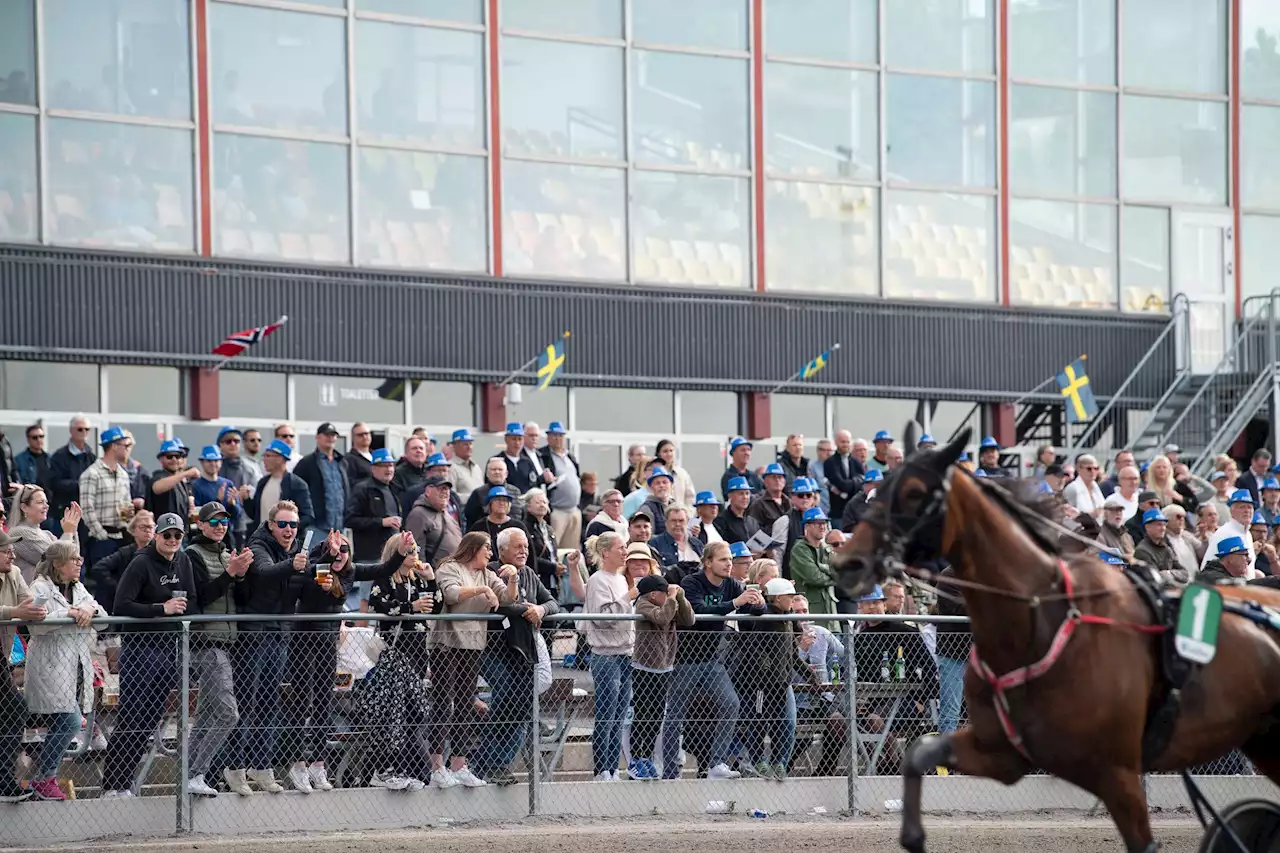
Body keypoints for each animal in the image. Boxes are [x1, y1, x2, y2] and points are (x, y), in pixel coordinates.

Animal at [834, 427, 1280, 850]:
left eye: (913, 492)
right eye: (878, 486)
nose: (848, 563)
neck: (1038, 625)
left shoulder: (1117, 773)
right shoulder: (1002, 752)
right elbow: (918, 753)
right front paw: (913, 835)